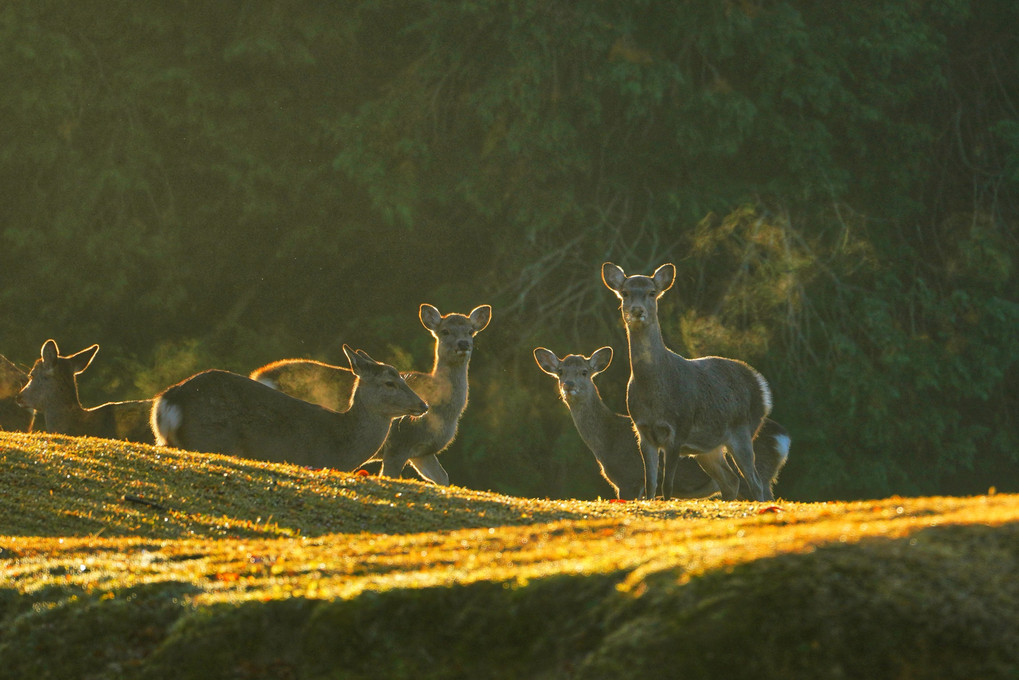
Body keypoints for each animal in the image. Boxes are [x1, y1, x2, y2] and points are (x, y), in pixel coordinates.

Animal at [253, 303, 493, 483]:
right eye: (445, 331)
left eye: (471, 331)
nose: (463, 344)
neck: (444, 412)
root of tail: (260, 374)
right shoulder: (399, 444)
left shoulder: (423, 452)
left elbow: (443, 478)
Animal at [538, 346, 790, 499]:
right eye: (560, 371)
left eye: (584, 371)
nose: (568, 385)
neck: (607, 441)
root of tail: (783, 438)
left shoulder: (628, 480)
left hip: (760, 469)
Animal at [603, 263, 770, 503]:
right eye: (625, 293)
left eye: (652, 292)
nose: (636, 311)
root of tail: (761, 386)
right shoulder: (643, 431)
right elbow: (650, 484)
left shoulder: (678, 429)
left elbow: (667, 486)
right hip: (708, 447)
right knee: (730, 481)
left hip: (743, 430)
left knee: (755, 482)